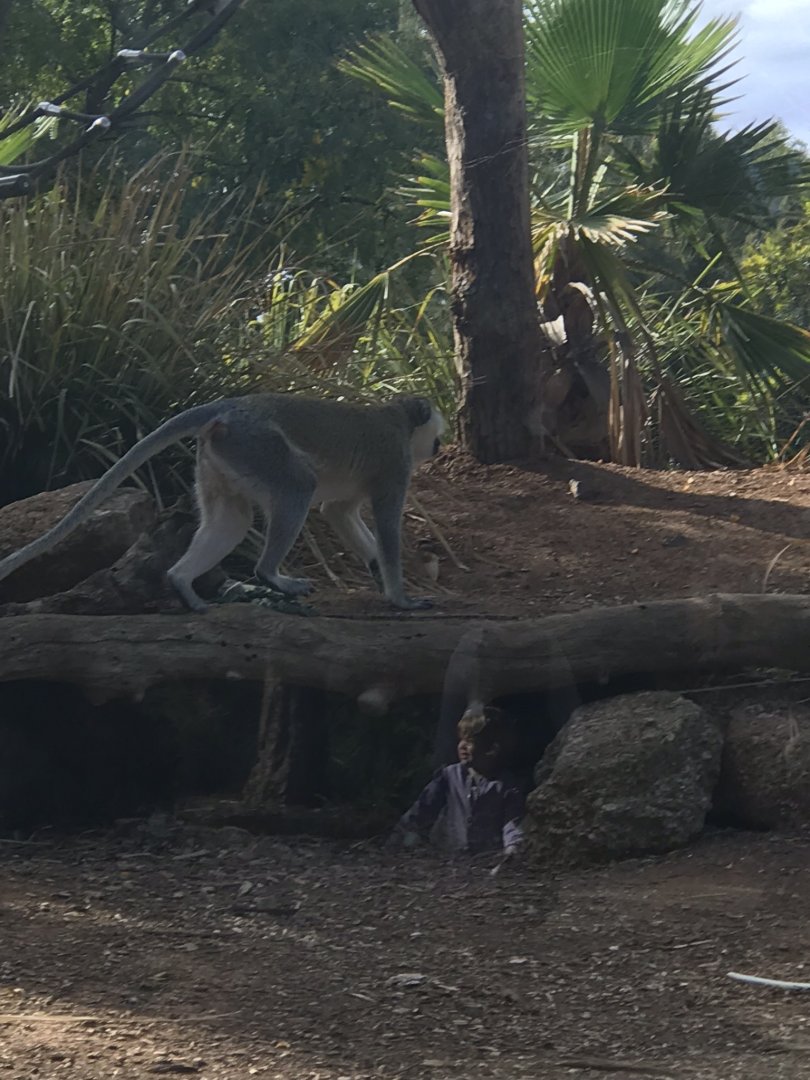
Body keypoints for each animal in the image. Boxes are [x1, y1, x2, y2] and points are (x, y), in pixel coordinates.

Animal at [0, 393, 444, 613]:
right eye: (436, 432)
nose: (440, 446)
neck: (398, 418)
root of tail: (231, 406)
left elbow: (336, 511)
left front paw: (376, 571)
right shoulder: (396, 463)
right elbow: (386, 524)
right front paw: (401, 597)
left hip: (224, 454)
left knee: (232, 519)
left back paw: (182, 582)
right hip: (256, 444)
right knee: (297, 486)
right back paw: (270, 574)